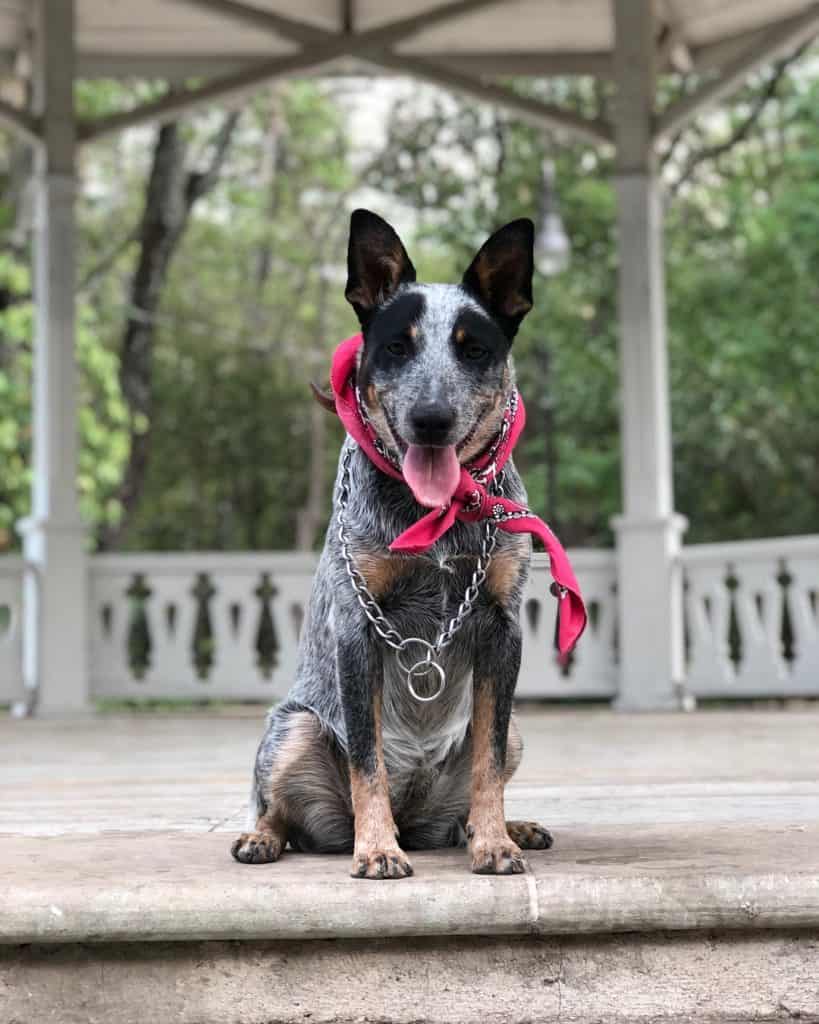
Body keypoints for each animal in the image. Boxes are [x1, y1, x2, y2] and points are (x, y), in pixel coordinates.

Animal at [233, 209, 561, 880]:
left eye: (473, 348)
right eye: (396, 345)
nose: (431, 419)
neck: (434, 515)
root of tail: (418, 819)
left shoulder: (502, 628)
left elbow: (489, 762)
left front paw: (496, 842)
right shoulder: (357, 628)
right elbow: (368, 760)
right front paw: (377, 849)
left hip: (514, 731)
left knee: (472, 795)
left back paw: (503, 827)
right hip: (293, 729)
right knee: (281, 809)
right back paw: (265, 837)